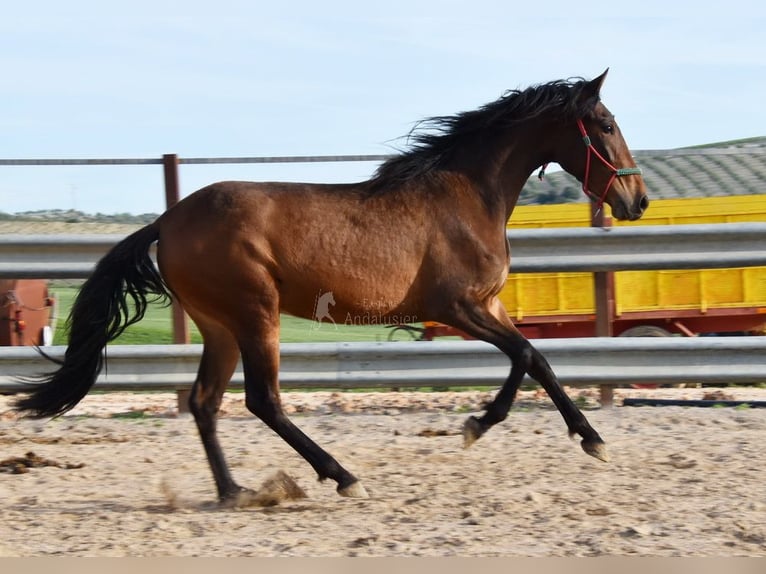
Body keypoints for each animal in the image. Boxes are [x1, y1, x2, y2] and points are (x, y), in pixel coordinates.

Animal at [13, 70, 648, 506]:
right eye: (606, 125)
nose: (636, 200)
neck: (467, 197)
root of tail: (166, 222)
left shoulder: (487, 305)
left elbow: (535, 359)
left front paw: (577, 437)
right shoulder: (459, 306)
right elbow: (527, 355)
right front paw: (487, 427)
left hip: (218, 325)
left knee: (205, 402)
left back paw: (234, 492)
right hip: (255, 313)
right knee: (261, 400)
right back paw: (341, 477)